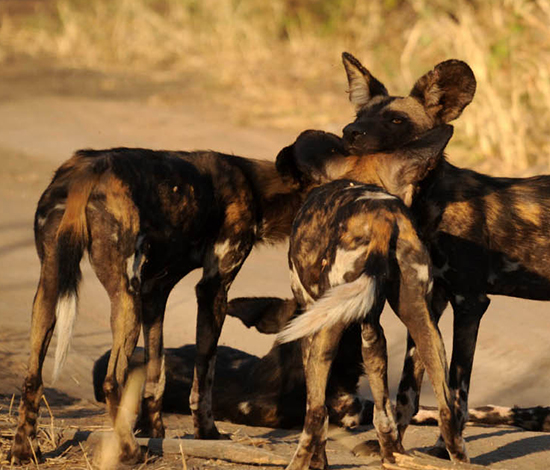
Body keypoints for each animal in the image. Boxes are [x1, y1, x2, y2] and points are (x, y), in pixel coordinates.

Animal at [278, 125, 472, 466]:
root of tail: (381, 216)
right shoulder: (372, 327)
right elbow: (384, 411)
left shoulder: (311, 324)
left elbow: (320, 414)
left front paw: (319, 463)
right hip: (423, 323)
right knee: (446, 411)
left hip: (327, 330)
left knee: (314, 415)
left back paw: (297, 463)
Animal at [340, 52, 550, 458]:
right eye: (360, 114)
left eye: (396, 120)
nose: (349, 132)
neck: (427, 202)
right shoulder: (430, 301)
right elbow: (409, 388)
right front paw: (391, 446)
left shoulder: (470, 303)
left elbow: (456, 389)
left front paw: (443, 449)